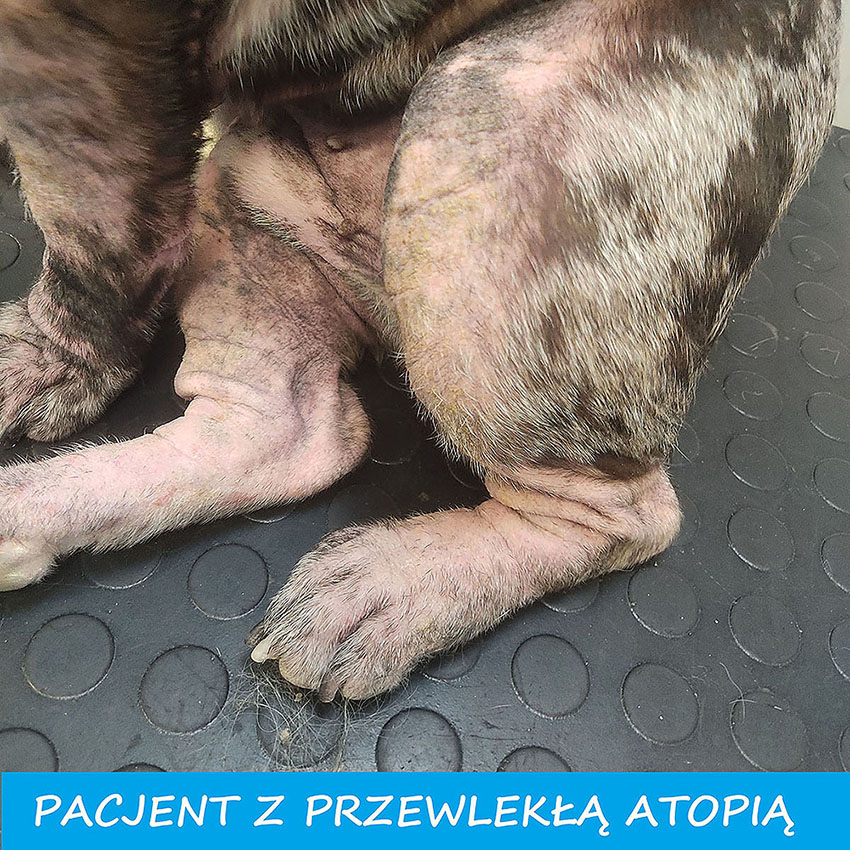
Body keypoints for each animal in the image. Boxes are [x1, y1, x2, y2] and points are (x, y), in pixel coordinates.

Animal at [0, 0, 840, 700]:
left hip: (483, 134)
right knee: (280, 430)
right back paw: (33, 506)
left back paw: (399, 587)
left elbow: (88, 233)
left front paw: (58, 348)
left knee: (623, 515)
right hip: (243, 193)